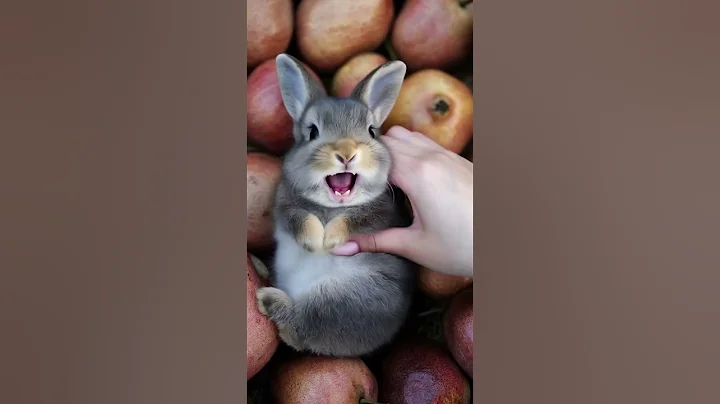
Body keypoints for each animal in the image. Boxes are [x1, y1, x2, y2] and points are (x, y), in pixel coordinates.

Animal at [255, 53, 416, 357]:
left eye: (371, 131)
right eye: (312, 132)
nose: (346, 154)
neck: (332, 206)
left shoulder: (378, 214)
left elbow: (354, 219)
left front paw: (328, 240)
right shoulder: (285, 205)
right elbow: (300, 219)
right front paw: (315, 241)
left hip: (342, 297)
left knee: (299, 332)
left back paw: (269, 299)